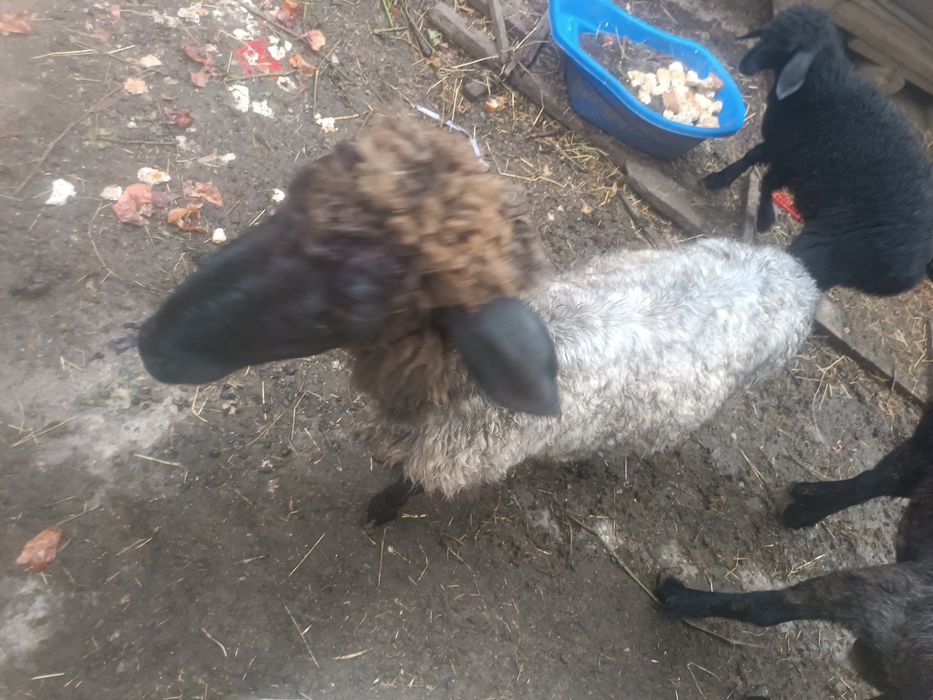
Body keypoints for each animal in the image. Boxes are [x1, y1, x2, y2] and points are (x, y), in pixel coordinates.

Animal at [138, 118, 821, 524]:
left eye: (362, 295)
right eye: (294, 198)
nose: (152, 344)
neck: (450, 382)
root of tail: (795, 275)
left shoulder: (453, 457)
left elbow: (408, 483)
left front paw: (382, 509)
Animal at [657, 400, 933, 699]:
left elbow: (876, 480)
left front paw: (802, 511)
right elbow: (875, 481)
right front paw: (811, 497)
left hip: (885, 596)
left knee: (772, 608)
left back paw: (681, 598)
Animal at [702, 4, 933, 297]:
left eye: (788, 45)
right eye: (767, 34)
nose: (746, 65)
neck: (824, 90)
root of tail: (912, 267)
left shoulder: (795, 157)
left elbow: (767, 178)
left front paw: (764, 216)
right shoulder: (785, 147)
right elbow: (753, 158)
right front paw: (720, 180)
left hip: (834, 246)